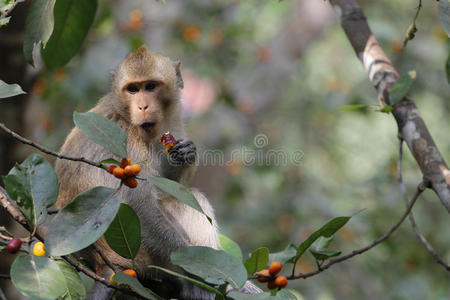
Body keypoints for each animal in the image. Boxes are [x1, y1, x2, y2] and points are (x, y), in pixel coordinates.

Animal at [54, 45, 262, 298]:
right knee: (190, 202)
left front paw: (186, 154)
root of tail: (101, 263)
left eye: (150, 86)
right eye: (133, 89)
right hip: (141, 256)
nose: (142, 106)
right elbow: (140, 205)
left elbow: (167, 183)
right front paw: (208, 271)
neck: (126, 115)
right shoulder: (126, 141)